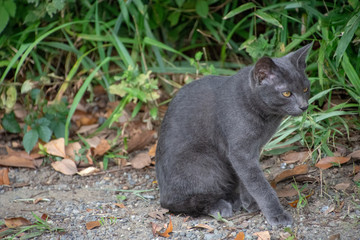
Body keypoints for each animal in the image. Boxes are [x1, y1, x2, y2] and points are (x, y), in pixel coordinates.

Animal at [155, 44, 312, 226]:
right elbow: (259, 185)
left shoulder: (252, 150)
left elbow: (247, 180)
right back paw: (219, 205)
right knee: (175, 202)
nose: (304, 106)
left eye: (305, 89)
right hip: (204, 163)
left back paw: (233, 199)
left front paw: (249, 202)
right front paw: (277, 214)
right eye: (286, 93)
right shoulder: (240, 152)